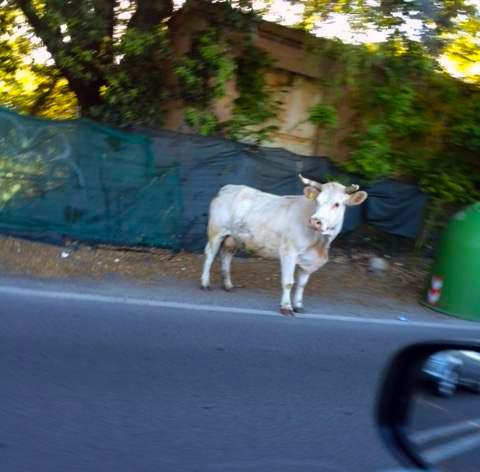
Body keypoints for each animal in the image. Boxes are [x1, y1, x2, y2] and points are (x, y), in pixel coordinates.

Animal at [200, 174, 368, 318]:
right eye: (318, 201)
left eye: (337, 204)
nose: (315, 221)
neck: (319, 244)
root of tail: (229, 187)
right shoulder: (289, 251)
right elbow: (288, 282)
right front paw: (286, 307)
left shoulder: (309, 260)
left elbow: (301, 284)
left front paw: (298, 305)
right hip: (216, 232)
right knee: (210, 254)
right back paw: (205, 283)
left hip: (233, 238)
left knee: (226, 255)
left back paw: (228, 285)